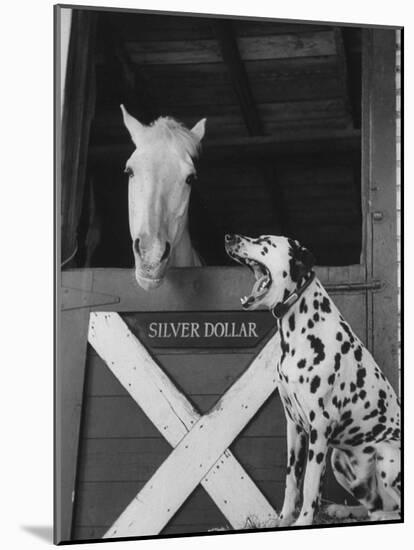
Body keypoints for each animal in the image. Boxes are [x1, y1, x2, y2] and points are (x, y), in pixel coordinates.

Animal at [225, 235, 400, 528]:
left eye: (263, 240)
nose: (229, 237)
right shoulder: (294, 426)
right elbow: (292, 481)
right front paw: (283, 520)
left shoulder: (320, 426)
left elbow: (309, 483)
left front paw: (303, 520)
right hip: (339, 459)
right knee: (373, 506)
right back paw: (345, 511)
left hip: (387, 456)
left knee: (393, 509)